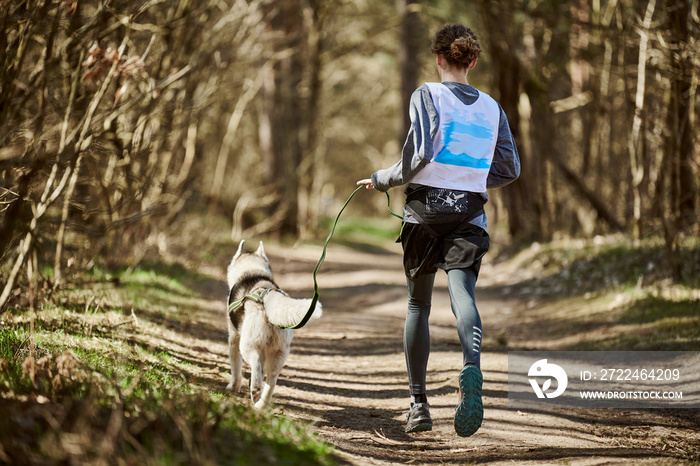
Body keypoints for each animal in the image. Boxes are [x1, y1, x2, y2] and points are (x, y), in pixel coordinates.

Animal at [226, 240, 322, 408]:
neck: (252, 271)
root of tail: (267, 297)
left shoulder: (234, 338)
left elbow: (236, 370)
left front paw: (233, 387)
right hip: (278, 353)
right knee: (271, 381)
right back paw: (261, 404)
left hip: (247, 345)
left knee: (256, 364)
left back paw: (255, 390)